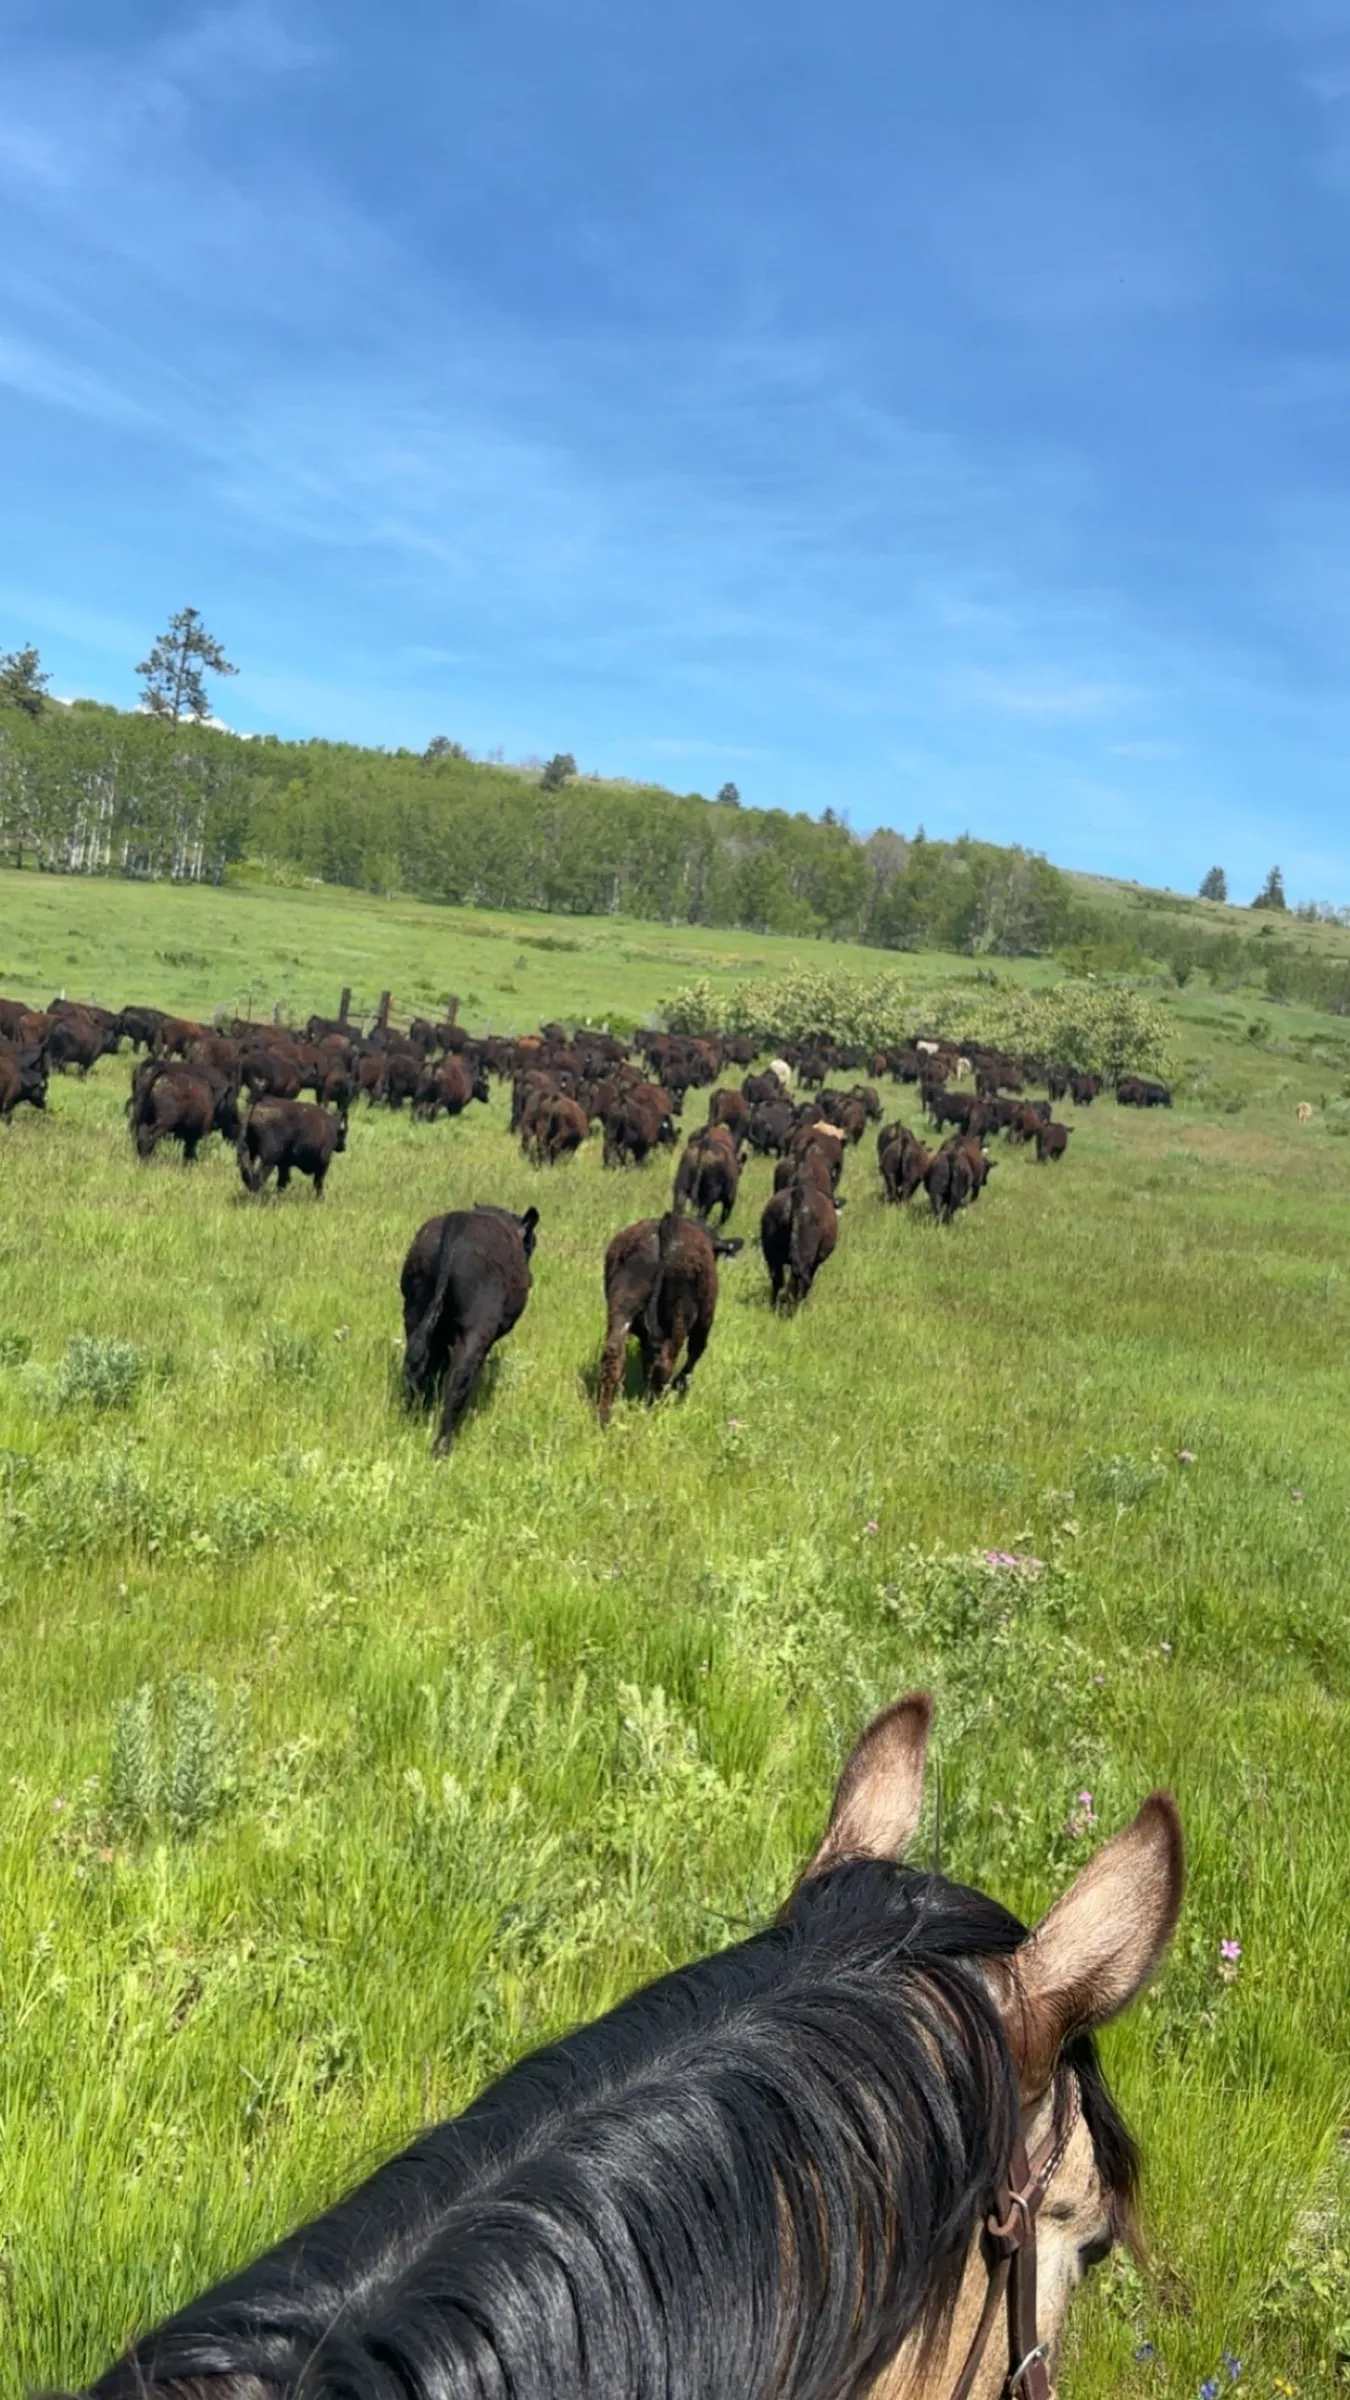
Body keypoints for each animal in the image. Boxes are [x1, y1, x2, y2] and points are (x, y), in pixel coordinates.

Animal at [401, 1203, 539, 1456]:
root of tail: (457, 1224)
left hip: (415, 1316)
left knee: (419, 1369)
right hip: (474, 1333)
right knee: (457, 1382)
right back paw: (442, 1446)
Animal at [596, 1212, 741, 1424]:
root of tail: (667, 1224)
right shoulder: (704, 1321)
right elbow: (695, 1352)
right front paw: (681, 1385)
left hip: (622, 1305)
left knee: (613, 1354)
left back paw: (605, 1415)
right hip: (681, 1315)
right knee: (667, 1361)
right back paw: (654, 1405)